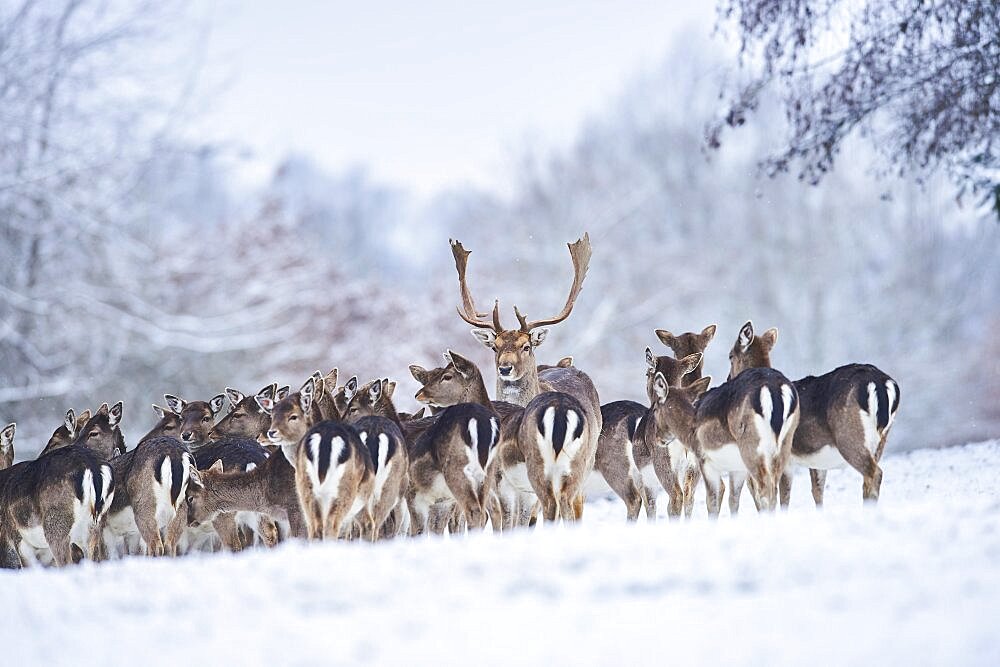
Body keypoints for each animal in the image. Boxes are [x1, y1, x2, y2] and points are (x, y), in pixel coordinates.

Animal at [728, 320, 900, 504]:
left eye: (730, 356)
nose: (729, 380)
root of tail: (881, 384)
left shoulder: (786, 459)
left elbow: (783, 496)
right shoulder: (816, 461)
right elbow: (817, 491)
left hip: (849, 435)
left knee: (874, 473)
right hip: (880, 441)